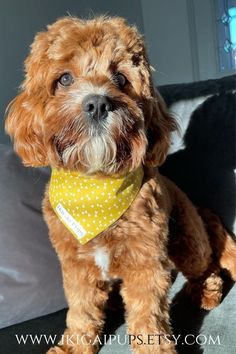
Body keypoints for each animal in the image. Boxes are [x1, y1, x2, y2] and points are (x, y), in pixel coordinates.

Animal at [5, 15, 236, 352]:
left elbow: (147, 316)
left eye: (121, 79)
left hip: (189, 240)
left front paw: (154, 348)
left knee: (207, 267)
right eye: (64, 79)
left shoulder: (144, 262)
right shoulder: (76, 267)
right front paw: (74, 346)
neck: (95, 185)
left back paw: (205, 290)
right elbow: (81, 312)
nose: (98, 104)